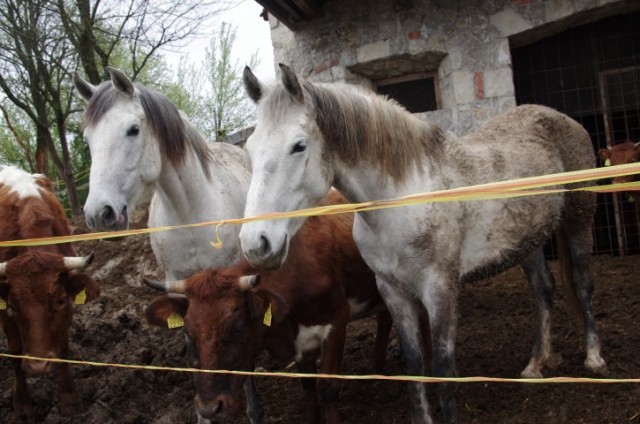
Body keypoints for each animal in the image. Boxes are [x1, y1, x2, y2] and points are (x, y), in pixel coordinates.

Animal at [0, 164, 99, 420]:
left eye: (60, 300)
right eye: (13, 305)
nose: (38, 366)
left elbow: (63, 344)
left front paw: (68, 397)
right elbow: (15, 349)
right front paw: (23, 404)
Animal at [146, 190, 430, 424]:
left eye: (236, 330)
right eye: (189, 333)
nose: (208, 408)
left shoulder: (336, 321)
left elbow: (327, 388)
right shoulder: (300, 342)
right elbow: (308, 386)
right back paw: (377, 365)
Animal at [238, 63, 608, 424]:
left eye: (299, 145)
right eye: (250, 151)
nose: (256, 243)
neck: (404, 196)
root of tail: (562, 119)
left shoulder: (439, 287)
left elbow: (443, 368)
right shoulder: (393, 291)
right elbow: (414, 364)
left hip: (579, 218)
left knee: (582, 283)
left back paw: (594, 358)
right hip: (528, 240)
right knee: (542, 290)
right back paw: (536, 364)